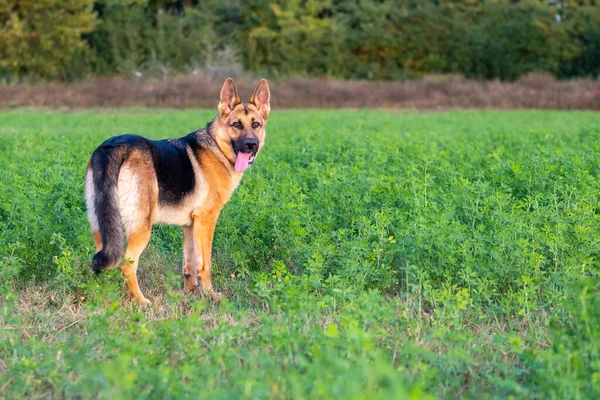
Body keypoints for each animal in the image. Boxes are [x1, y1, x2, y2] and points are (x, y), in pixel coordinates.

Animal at [85, 78, 270, 304]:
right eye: (236, 125)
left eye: (256, 124)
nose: (251, 145)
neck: (218, 147)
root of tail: (113, 147)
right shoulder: (206, 221)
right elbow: (204, 264)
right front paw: (210, 295)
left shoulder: (190, 225)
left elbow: (189, 265)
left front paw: (189, 293)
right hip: (141, 228)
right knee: (127, 265)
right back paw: (141, 302)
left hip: (102, 229)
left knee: (102, 264)